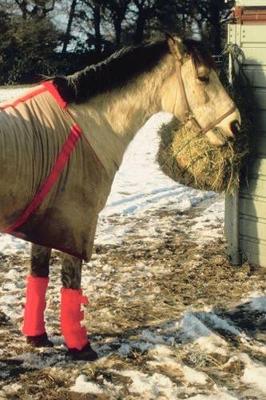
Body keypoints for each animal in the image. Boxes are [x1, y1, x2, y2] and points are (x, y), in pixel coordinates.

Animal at [0, 35, 240, 360]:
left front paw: (37, 337)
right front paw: (80, 346)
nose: (234, 125)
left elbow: (38, 275)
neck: (88, 124)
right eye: (203, 77)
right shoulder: (77, 223)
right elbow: (70, 281)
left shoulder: (46, 224)